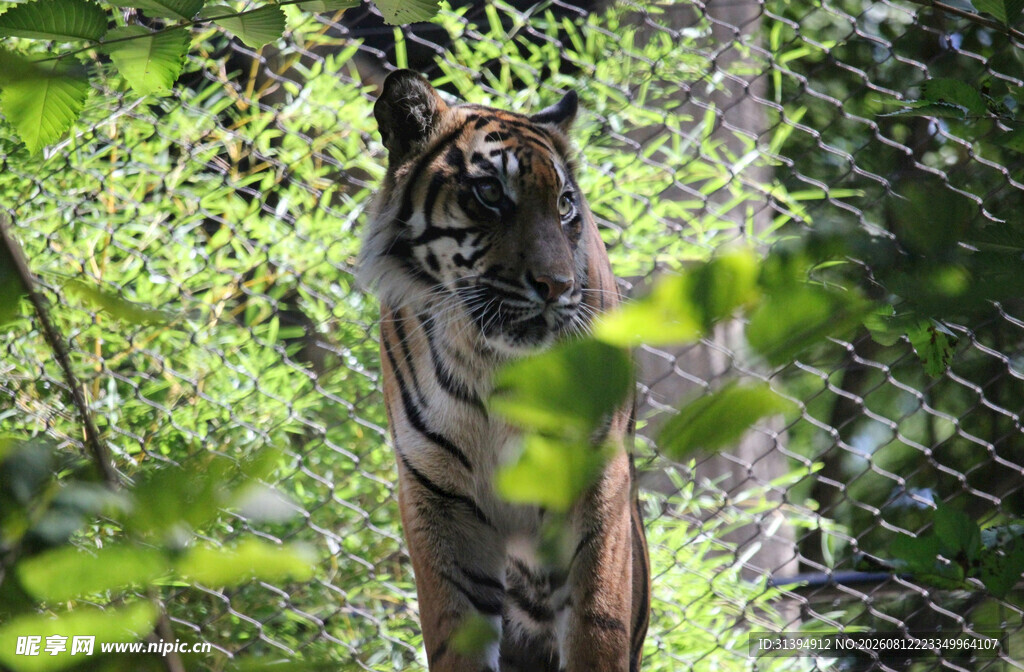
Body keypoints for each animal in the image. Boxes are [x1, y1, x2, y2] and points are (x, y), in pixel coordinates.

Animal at [358, 69, 650, 672]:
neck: (492, 362)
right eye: (490, 193)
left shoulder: (595, 478)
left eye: (564, 204)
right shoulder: (438, 496)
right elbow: (456, 635)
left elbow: (596, 624)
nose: (558, 286)